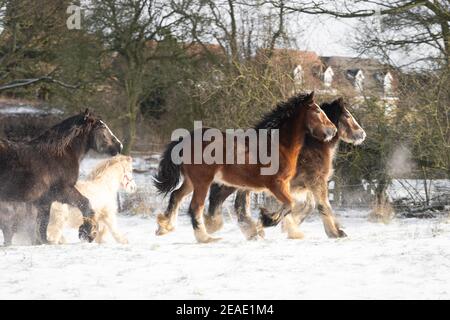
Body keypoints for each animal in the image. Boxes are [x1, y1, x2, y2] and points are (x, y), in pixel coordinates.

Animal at [0, 110, 123, 245]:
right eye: (102, 127)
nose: (119, 146)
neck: (59, 155)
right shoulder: (63, 192)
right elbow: (85, 204)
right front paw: (88, 232)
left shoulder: (44, 201)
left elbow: (41, 226)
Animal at [153, 92, 336, 242]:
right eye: (317, 111)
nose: (333, 130)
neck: (278, 145)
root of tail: (185, 140)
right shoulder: (277, 184)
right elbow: (289, 205)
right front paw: (266, 221)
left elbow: (287, 207)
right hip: (202, 182)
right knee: (195, 207)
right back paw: (205, 237)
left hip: (191, 181)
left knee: (176, 196)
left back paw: (165, 227)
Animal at [204, 97, 366, 240]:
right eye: (348, 115)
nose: (362, 134)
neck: (313, 147)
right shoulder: (315, 181)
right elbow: (322, 205)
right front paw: (334, 232)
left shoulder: (302, 185)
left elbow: (307, 206)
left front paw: (289, 227)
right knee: (221, 198)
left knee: (238, 205)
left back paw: (251, 231)